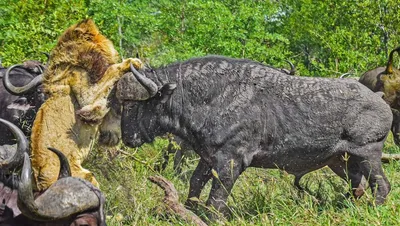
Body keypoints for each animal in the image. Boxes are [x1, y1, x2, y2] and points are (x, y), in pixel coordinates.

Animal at [31, 19, 144, 191]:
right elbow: (111, 72)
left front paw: (112, 137)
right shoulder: (87, 96)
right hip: (84, 176)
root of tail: (42, 184)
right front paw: (132, 62)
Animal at [115, 55, 390, 216]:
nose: (127, 138)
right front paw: (188, 211)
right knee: (358, 187)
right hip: (340, 161)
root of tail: (379, 100)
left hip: (368, 154)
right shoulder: (208, 158)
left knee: (381, 186)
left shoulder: (231, 162)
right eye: (122, 103)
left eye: (132, 105)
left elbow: (216, 200)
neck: (209, 97)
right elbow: (195, 184)